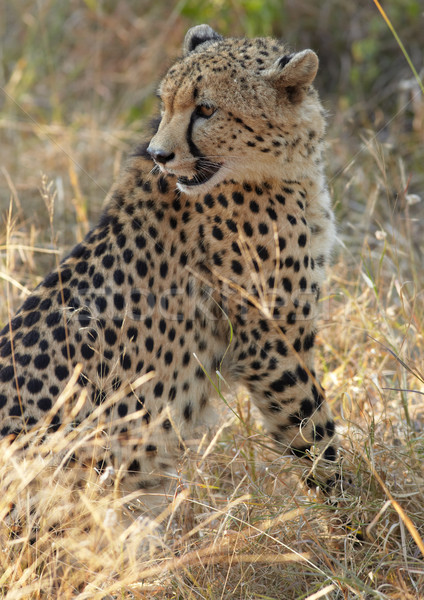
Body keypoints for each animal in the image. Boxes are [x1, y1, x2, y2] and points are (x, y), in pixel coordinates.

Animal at [0, 23, 338, 502]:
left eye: (206, 108)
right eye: (167, 105)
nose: (160, 155)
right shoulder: (270, 346)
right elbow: (315, 434)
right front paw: (362, 509)